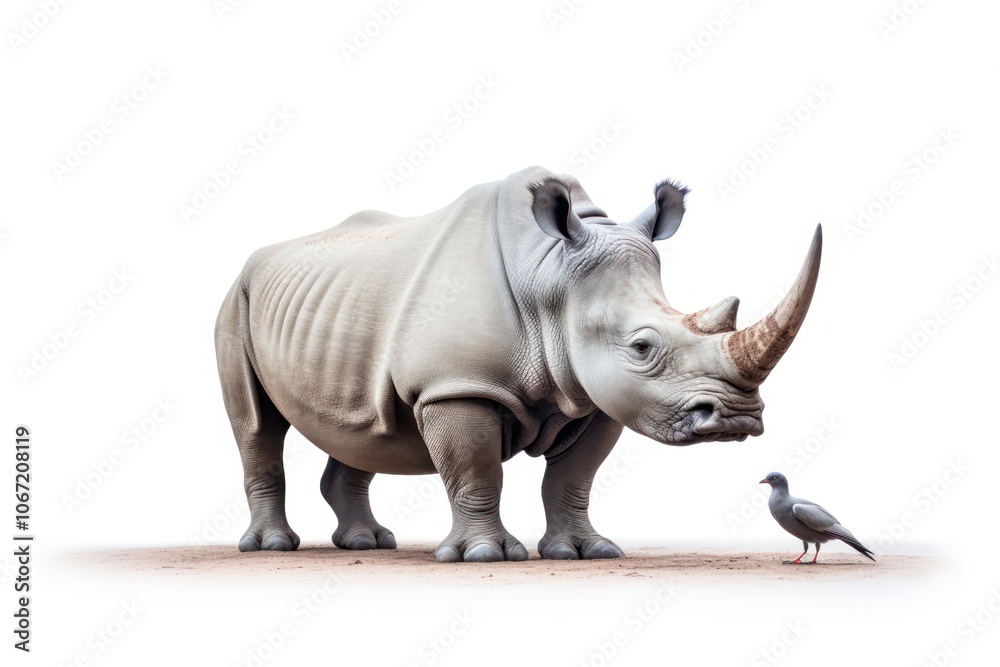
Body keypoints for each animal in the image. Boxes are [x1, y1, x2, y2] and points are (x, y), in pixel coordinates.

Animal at [215, 166, 821, 562]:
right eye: (642, 348)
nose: (739, 417)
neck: (551, 278)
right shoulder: (457, 386)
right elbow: (476, 469)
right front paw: (485, 555)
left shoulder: (594, 395)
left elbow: (573, 478)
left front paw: (586, 551)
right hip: (234, 302)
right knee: (256, 426)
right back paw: (271, 547)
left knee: (367, 422)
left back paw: (369, 543)